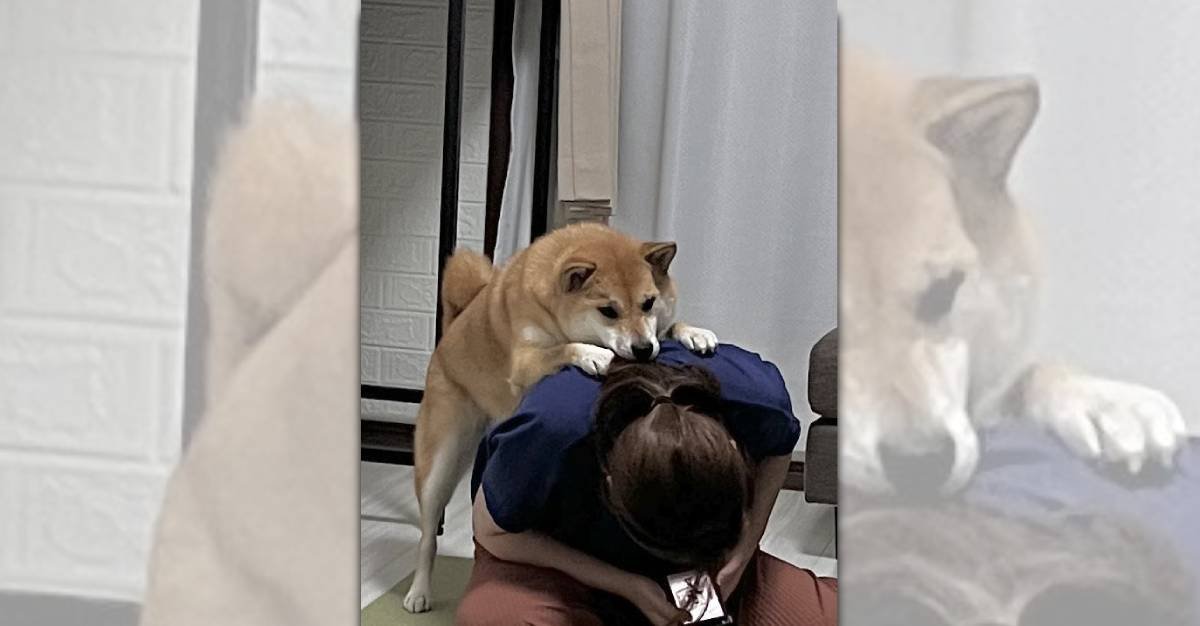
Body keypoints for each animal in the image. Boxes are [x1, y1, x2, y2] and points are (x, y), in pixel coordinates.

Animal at [408, 223, 715, 609]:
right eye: (608, 311)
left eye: (648, 303)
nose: (643, 350)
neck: (553, 312)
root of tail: (451, 328)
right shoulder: (525, 361)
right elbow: (562, 349)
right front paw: (592, 354)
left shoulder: (655, 330)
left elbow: (670, 328)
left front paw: (694, 332)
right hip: (441, 462)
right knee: (427, 536)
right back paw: (418, 591)